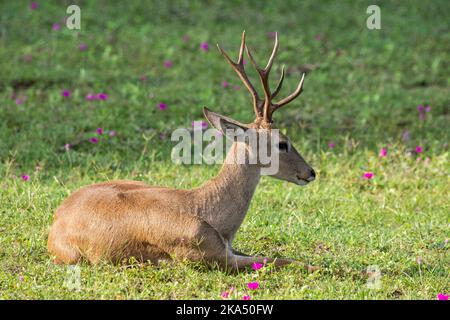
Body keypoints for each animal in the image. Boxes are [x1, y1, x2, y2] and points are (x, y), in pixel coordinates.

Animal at [47, 32, 316, 272]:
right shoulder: (209, 257)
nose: (311, 172)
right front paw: (321, 268)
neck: (208, 212)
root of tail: (56, 220)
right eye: (282, 142)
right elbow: (279, 260)